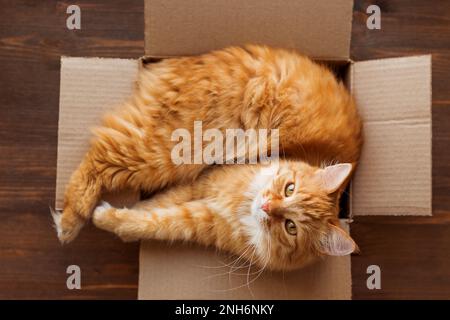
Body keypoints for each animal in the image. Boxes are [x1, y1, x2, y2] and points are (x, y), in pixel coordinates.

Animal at [52, 44, 362, 248]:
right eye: (290, 189)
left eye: (291, 225)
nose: (267, 207)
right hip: (168, 151)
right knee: (97, 159)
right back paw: (68, 223)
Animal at [92, 160, 358, 270]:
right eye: (289, 189)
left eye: (290, 226)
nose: (266, 207)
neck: (242, 206)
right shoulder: (200, 185)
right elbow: (159, 203)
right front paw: (134, 210)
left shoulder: (199, 218)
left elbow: (155, 221)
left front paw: (106, 218)